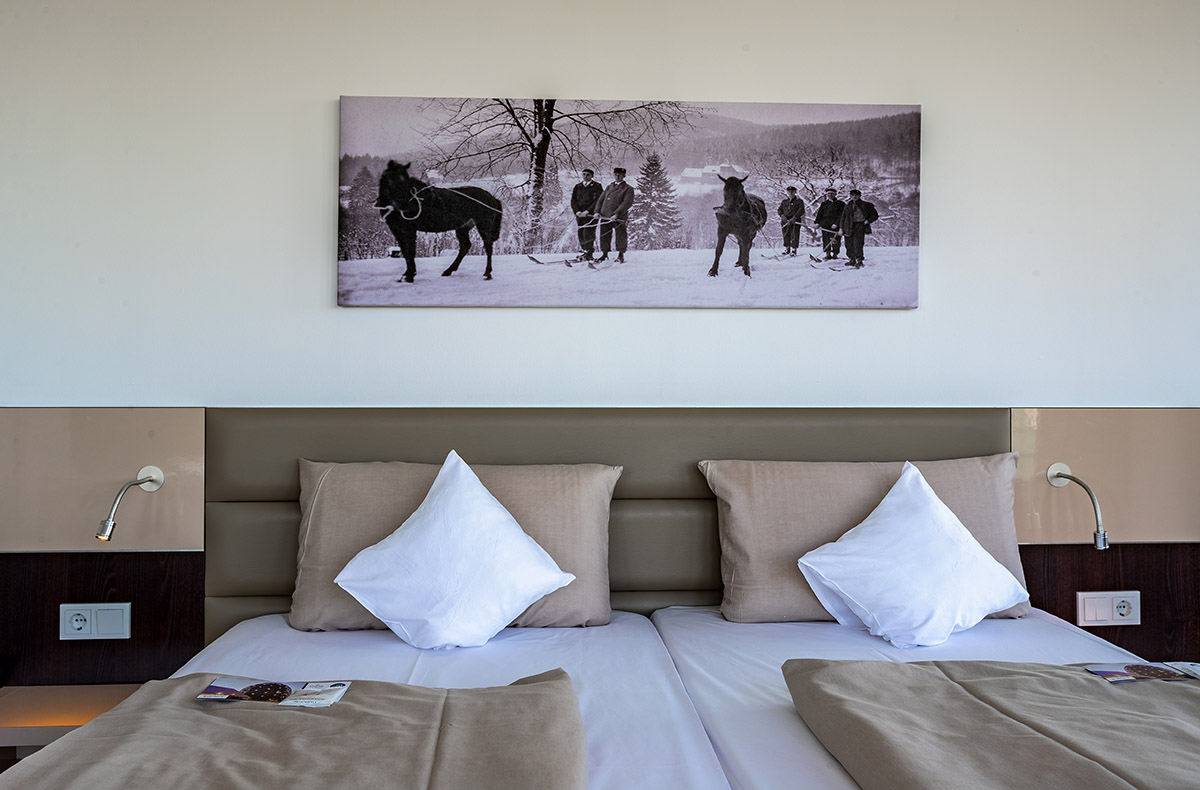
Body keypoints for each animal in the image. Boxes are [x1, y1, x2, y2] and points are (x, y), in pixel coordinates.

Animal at [374, 160, 503, 283]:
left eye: (405, 179)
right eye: (392, 178)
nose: (404, 206)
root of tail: (492, 197)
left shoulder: (409, 229)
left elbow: (410, 251)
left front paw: (410, 275)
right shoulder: (397, 229)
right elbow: (405, 251)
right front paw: (406, 274)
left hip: (483, 225)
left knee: (488, 246)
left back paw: (487, 273)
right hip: (462, 227)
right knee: (465, 246)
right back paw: (449, 270)